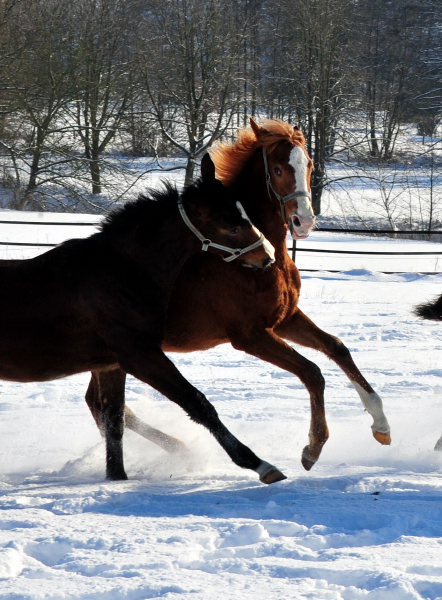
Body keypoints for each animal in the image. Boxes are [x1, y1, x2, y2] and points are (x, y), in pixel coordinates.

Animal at [0, 155, 274, 478]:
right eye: (231, 227)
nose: (267, 257)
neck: (122, 274)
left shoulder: (111, 365)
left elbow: (114, 419)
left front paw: (117, 476)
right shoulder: (140, 355)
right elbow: (197, 403)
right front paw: (258, 464)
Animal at [86, 118, 390, 482]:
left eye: (309, 165)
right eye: (277, 169)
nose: (304, 221)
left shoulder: (284, 319)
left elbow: (337, 348)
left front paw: (382, 426)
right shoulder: (250, 336)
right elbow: (312, 372)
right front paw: (312, 449)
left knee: (99, 405)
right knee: (103, 406)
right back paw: (179, 452)